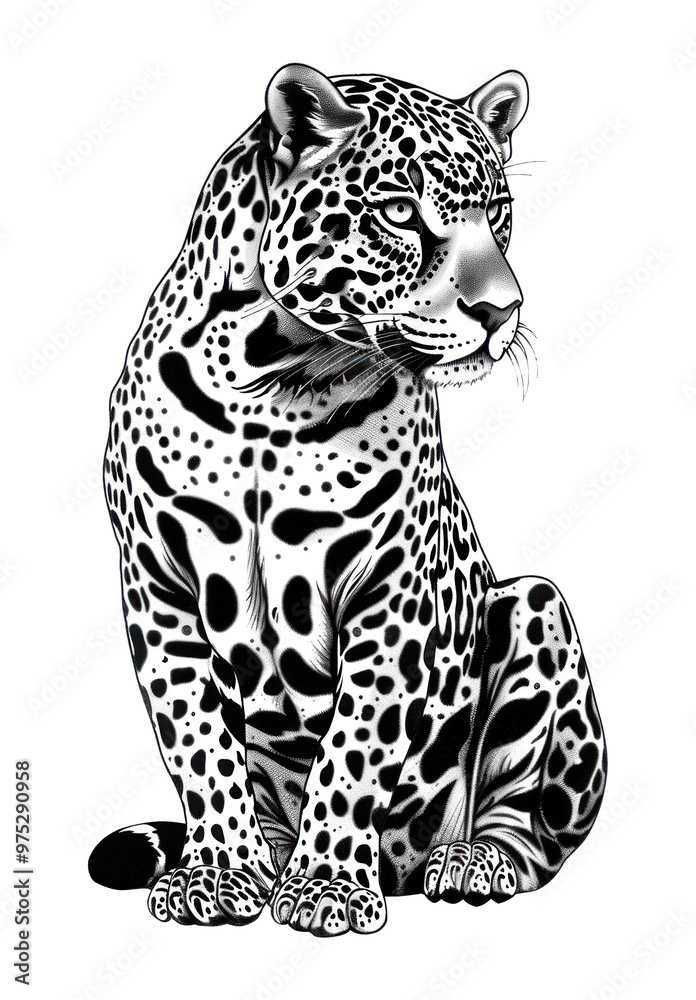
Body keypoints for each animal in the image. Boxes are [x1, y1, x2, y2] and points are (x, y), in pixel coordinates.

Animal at [89, 63, 607, 936]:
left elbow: (355, 746)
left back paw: (470, 860)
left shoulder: (390, 592)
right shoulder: (158, 585)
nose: (502, 311)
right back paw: (265, 856)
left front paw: (328, 882)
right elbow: (198, 737)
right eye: (400, 212)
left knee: (535, 831)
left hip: (536, 610)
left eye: (497, 212)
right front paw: (222, 871)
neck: (271, 379)